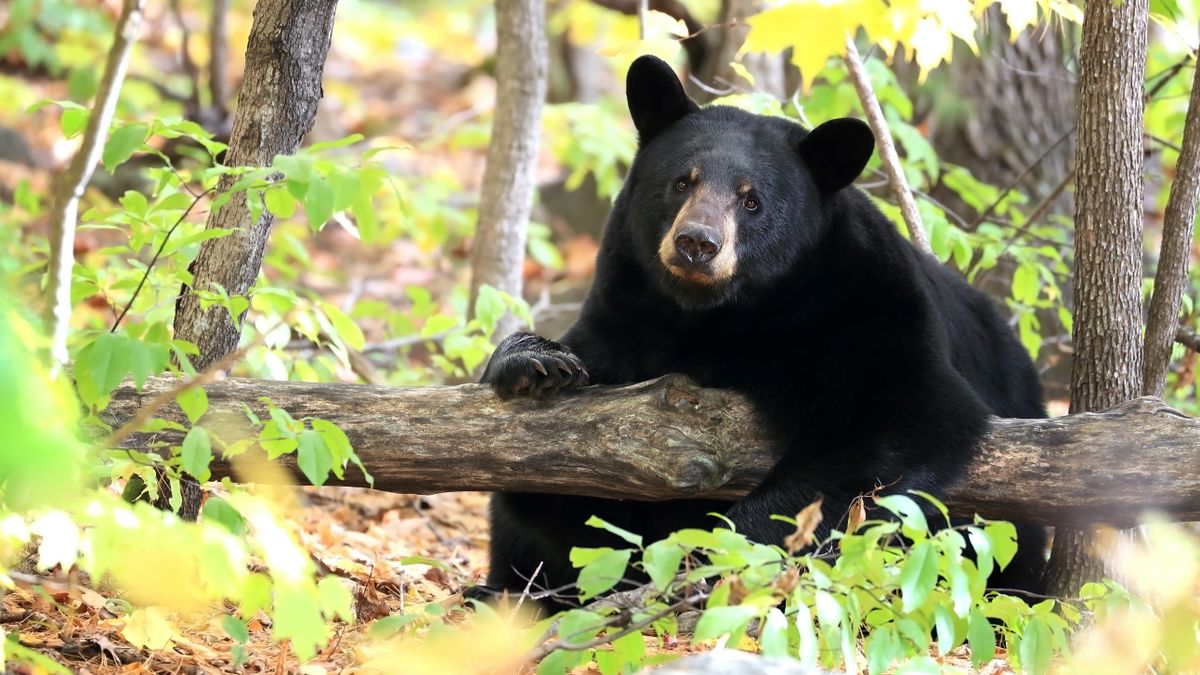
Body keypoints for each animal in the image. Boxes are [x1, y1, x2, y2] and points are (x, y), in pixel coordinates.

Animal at [468, 56, 1041, 605]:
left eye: (751, 200)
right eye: (683, 180)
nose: (697, 242)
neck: (719, 316)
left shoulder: (865, 310)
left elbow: (904, 416)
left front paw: (720, 554)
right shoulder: (625, 321)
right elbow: (569, 495)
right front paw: (535, 362)